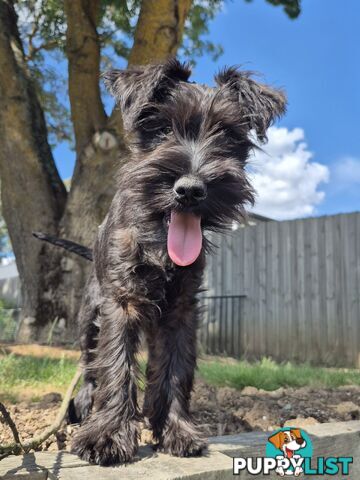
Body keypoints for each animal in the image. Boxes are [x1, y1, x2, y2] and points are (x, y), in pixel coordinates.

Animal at [40, 57, 286, 464]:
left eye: (228, 136)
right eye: (162, 128)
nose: (190, 190)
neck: (158, 240)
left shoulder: (180, 311)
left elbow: (174, 370)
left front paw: (175, 431)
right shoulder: (120, 304)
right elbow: (115, 364)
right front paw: (107, 436)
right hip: (88, 316)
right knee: (89, 362)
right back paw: (86, 404)